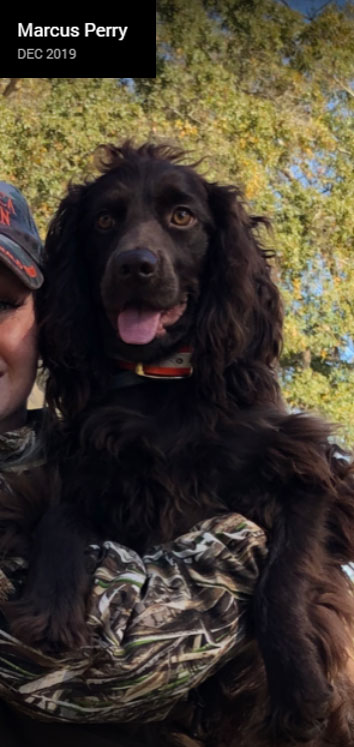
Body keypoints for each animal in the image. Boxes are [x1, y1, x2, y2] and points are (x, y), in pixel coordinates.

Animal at [2, 143, 354, 744]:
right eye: (104, 221)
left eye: (182, 216)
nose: (135, 265)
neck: (161, 381)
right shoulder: (94, 466)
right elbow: (61, 513)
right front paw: (50, 605)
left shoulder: (303, 468)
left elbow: (283, 580)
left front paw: (301, 689)